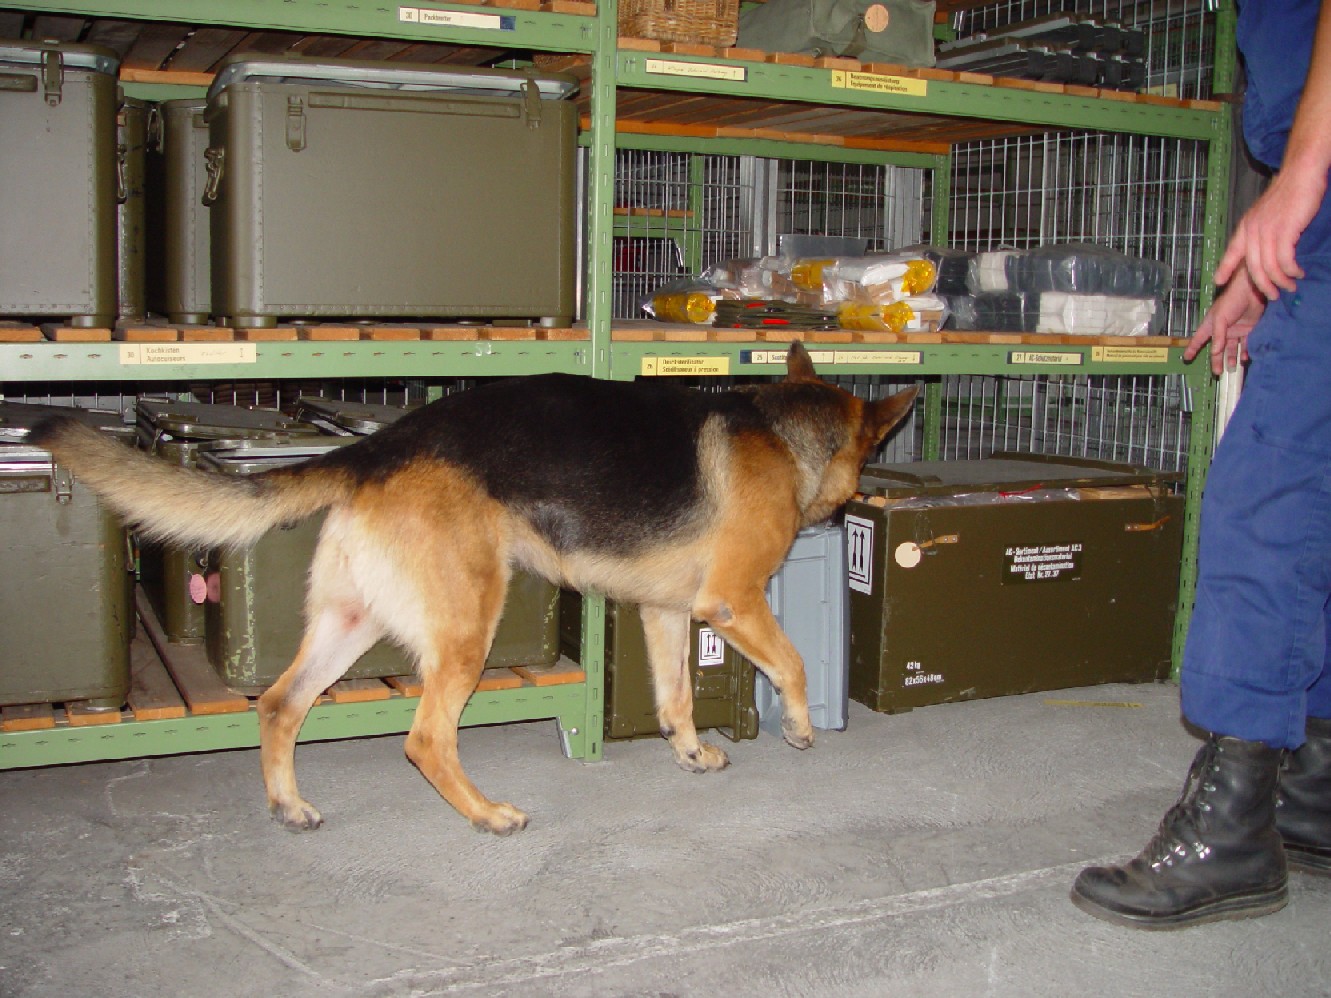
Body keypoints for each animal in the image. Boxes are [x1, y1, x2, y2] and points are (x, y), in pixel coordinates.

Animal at [29, 343, 916, 835]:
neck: (783, 431)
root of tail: (379, 447)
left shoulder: (667, 613)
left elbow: (676, 698)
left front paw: (691, 751)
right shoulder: (732, 600)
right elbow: (790, 662)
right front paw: (799, 728)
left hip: (351, 621)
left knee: (281, 705)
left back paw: (289, 806)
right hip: (465, 629)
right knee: (426, 739)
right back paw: (487, 814)